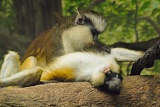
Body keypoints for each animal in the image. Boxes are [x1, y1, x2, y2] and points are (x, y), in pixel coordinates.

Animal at [0, 47, 142, 92]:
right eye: (110, 76)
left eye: (107, 81)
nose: (106, 71)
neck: (95, 68)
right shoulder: (110, 61)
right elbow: (115, 52)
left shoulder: (82, 76)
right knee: (15, 56)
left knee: (36, 70)